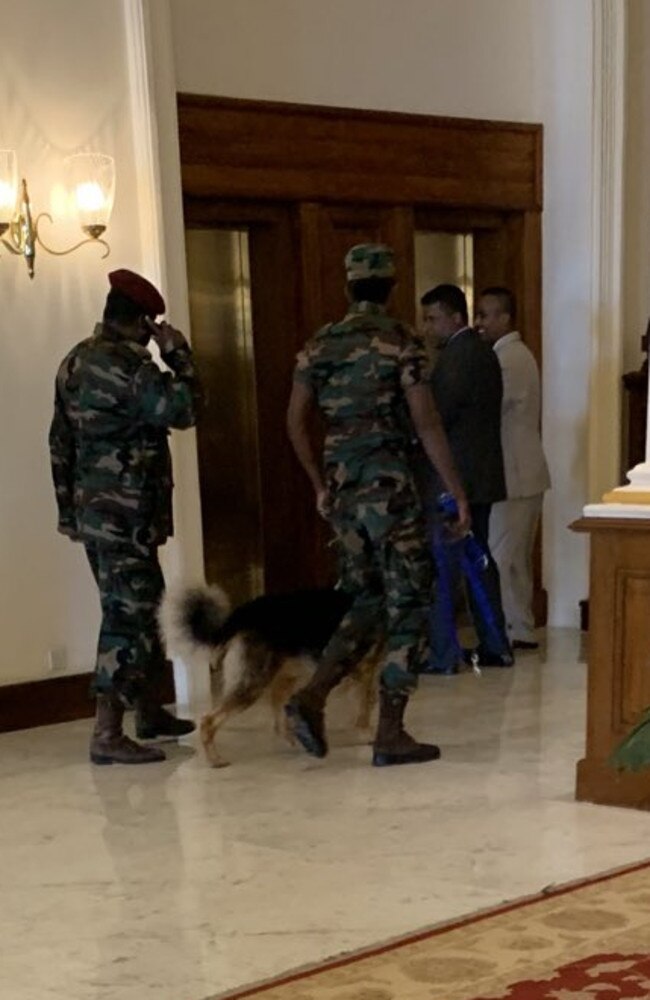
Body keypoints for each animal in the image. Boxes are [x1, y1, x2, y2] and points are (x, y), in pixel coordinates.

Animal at [158, 584, 380, 764]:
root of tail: (238, 617)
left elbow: (366, 701)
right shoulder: (366, 671)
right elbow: (365, 706)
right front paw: (366, 733)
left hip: (282, 676)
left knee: (279, 716)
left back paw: (298, 737)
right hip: (254, 684)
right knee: (209, 721)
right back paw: (215, 760)